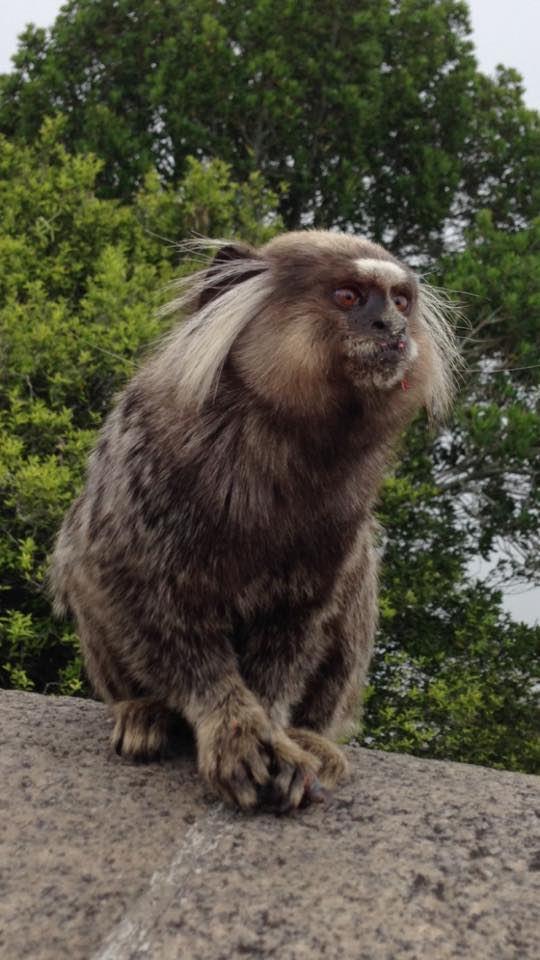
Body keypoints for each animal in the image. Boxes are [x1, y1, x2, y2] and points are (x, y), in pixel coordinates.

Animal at [49, 232, 456, 808]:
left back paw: (313, 737)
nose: (392, 329)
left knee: (357, 582)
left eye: (400, 302)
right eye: (349, 297)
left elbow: (295, 631)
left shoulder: (336, 526)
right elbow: (145, 602)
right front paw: (235, 731)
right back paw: (142, 711)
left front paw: (277, 735)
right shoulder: (140, 473)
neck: (279, 438)